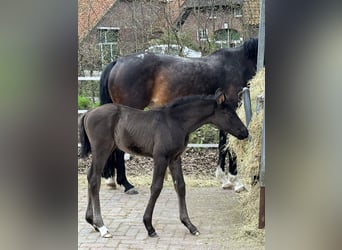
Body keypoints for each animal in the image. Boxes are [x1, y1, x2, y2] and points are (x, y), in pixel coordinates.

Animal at [79, 90, 247, 238]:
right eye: (229, 113)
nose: (245, 132)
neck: (175, 122)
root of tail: (88, 113)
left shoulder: (175, 158)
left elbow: (180, 186)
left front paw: (190, 225)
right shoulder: (161, 157)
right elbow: (156, 187)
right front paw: (149, 226)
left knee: (90, 175)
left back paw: (92, 221)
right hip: (102, 149)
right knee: (94, 179)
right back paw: (102, 227)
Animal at [100, 37, 258, 193]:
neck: (239, 64)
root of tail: (117, 62)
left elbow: (222, 144)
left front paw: (224, 180)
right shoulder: (230, 112)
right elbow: (228, 144)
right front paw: (235, 181)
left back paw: (112, 180)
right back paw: (127, 184)